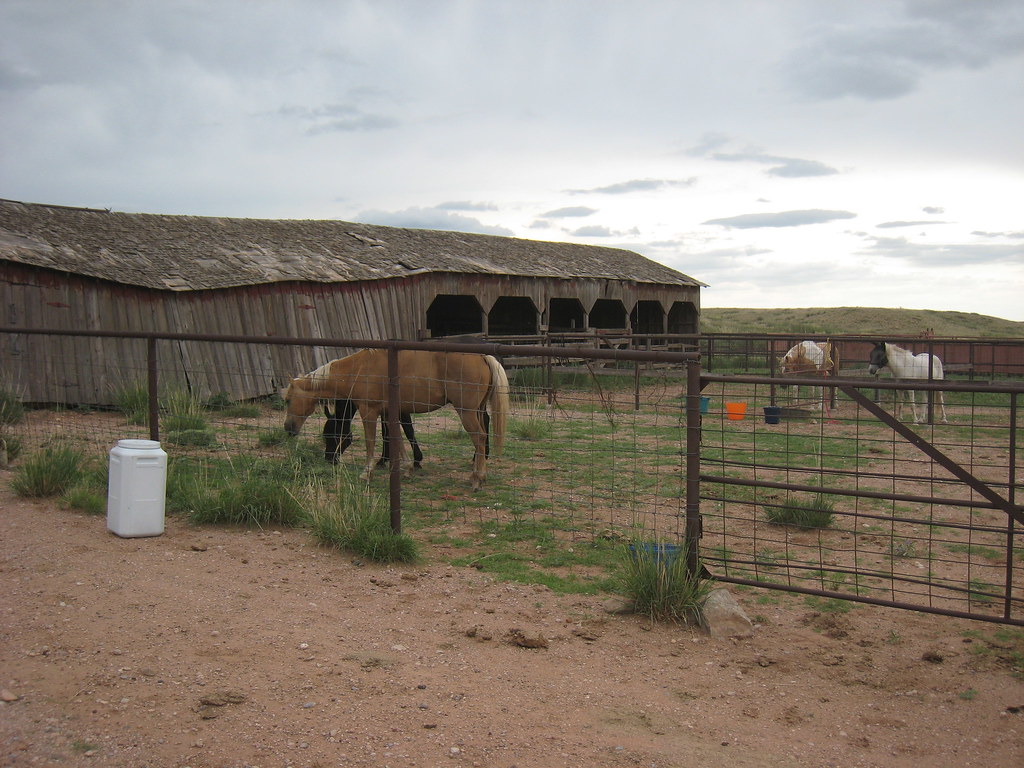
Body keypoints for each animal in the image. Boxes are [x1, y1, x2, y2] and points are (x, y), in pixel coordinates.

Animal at [284, 349, 509, 490]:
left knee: (479, 438)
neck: (359, 369)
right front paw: (408, 467)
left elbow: (372, 442)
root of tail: (482, 356)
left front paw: (367, 472)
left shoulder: (369, 411)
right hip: (477, 410)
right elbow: (397, 438)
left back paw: (478, 479)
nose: (288, 428)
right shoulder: (390, 412)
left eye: (287, 400)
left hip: (467, 412)